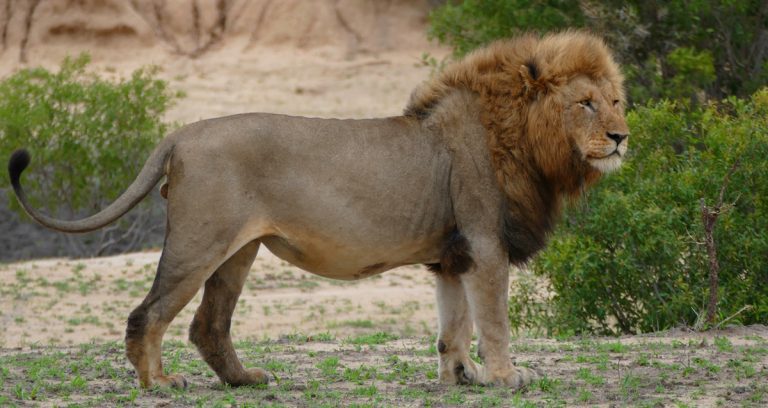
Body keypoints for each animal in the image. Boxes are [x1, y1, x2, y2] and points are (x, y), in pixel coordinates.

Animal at [8, 31, 628, 390]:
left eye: (616, 100)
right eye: (585, 103)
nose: (622, 137)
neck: (528, 141)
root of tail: (180, 133)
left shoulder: (454, 254)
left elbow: (454, 323)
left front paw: (461, 376)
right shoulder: (484, 242)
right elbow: (493, 319)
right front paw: (506, 376)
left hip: (238, 251)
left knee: (209, 325)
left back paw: (246, 380)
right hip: (199, 241)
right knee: (150, 313)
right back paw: (158, 384)